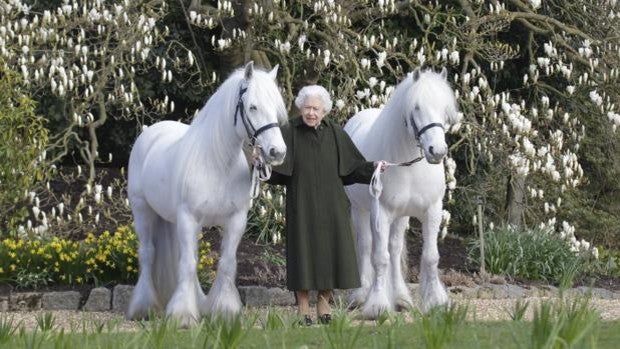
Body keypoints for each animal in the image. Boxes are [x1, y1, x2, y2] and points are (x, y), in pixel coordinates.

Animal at [126, 61, 290, 326]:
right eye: (253, 106)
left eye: (276, 108)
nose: (277, 152)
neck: (217, 163)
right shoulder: (189, 218)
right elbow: (188, 265)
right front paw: (182, 315)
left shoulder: (235, 220)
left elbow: (226, 263)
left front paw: (224, 311)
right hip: (143, 211)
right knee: (148, 254)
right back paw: (144, 307)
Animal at [344, 66, 460, 316]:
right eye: (416, 107)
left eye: (444, 109)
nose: (437, 151)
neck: (409, 166)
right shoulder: (381, 213)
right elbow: (379, 258)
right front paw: (377, 306)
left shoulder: (432, 211)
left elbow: (430, 257)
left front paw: (436, 302)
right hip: (360, 210)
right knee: (366, 246)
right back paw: (361, 295)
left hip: (401, 216)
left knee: (395, 249)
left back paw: (400, 298)